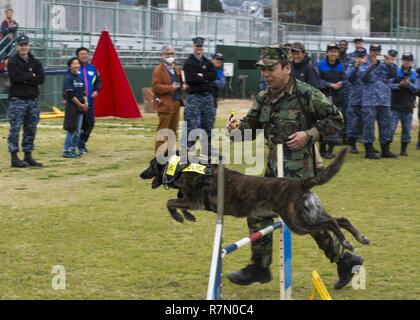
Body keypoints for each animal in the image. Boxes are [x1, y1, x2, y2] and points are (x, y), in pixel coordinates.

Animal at [139, 149, 370, 251]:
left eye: (150, 165)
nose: (141, 175)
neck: (181, 167)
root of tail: (301, 184)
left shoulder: (193, 200)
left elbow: (170, 202)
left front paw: (180, 217)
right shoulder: (191, 201)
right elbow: (177, 203)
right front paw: (187, 217)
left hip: (298, 223)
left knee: (330, 224)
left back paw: (347, 242)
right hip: (311, 214)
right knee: (341, 219)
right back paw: (360, 237)